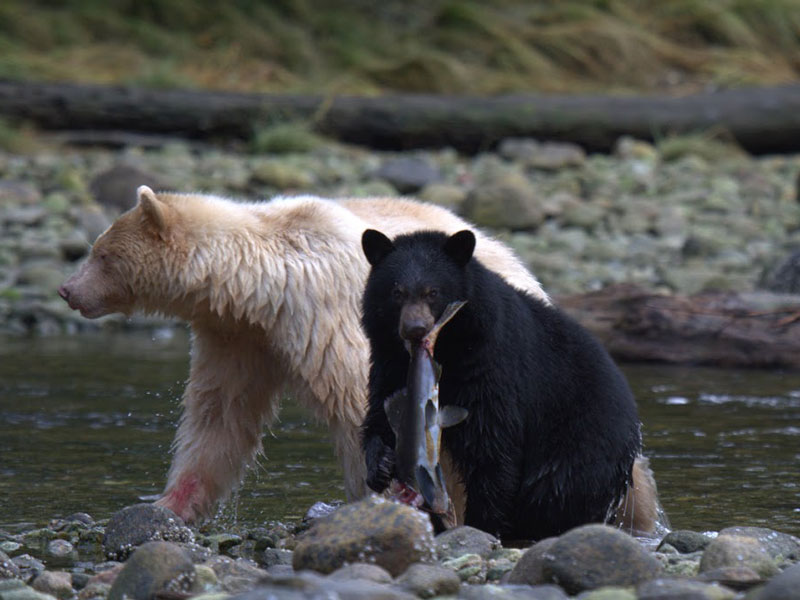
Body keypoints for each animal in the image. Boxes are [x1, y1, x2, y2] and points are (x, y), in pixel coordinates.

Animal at [360, 227, 660, 540]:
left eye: (433, 292)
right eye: (396, 292)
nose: (415, 329)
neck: (450, 349)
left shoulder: (492, 362)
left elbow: (492, 440)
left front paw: (481, 524)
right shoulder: (388, 362)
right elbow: (381, 412)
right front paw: (380, 465)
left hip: (581, 444)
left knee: (559, 492)